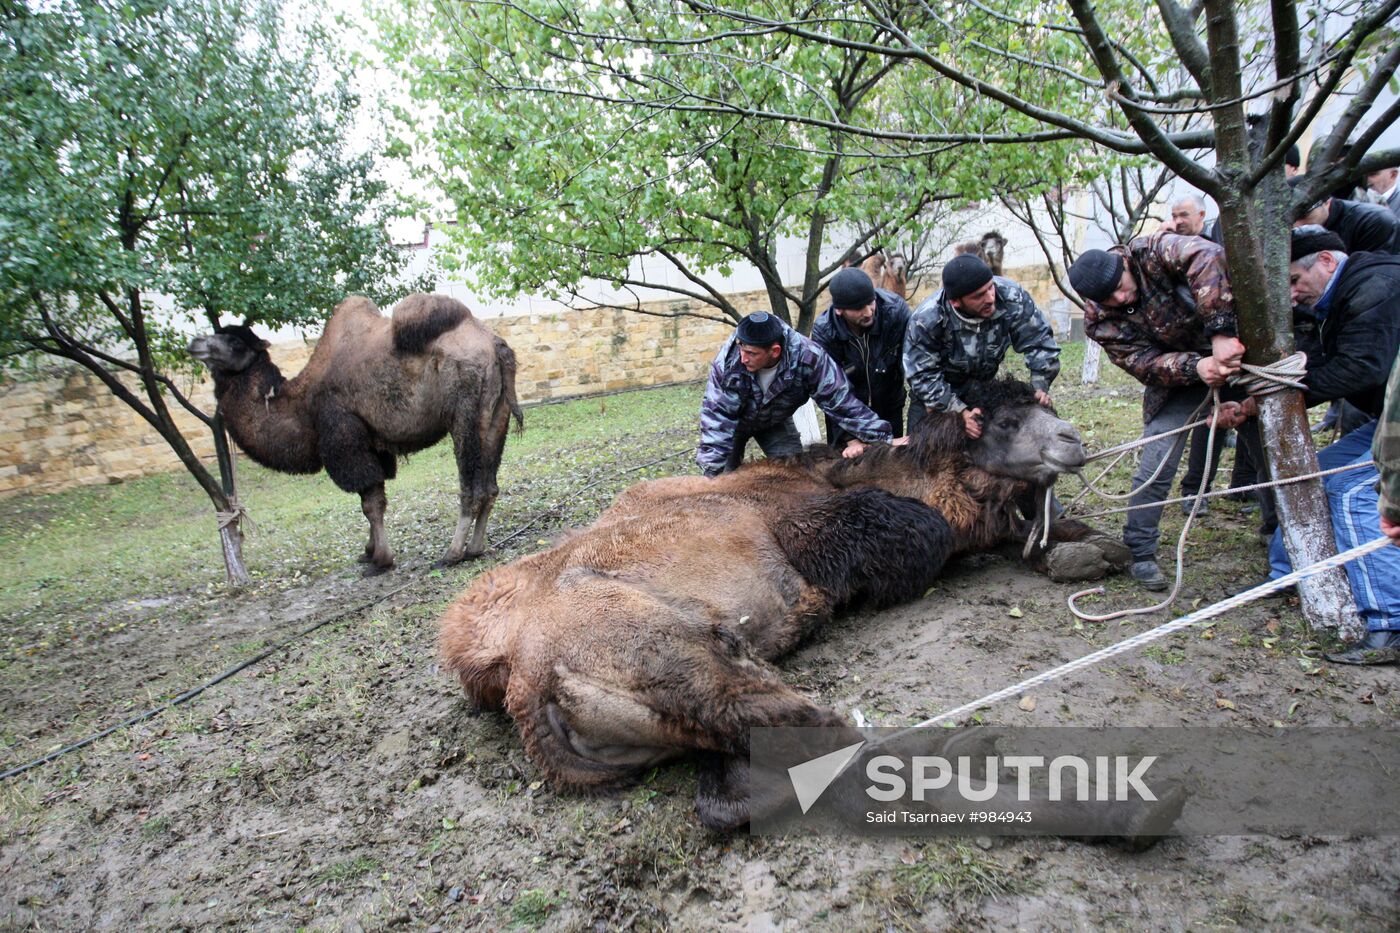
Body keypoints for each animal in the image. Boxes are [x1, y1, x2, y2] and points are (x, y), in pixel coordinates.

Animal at [191, 292, 526, 565]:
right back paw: (475, 548)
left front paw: (381, 559)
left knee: (472, 488)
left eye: (235, 342)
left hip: (464, 413)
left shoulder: (345, 438)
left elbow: (370, 502)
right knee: (490, 486)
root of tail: (495, 345)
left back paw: (452, 553)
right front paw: (368, 551)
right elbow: (376, 499)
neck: (301, 402)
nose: (194, 343)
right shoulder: (373, 445)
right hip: (496, 416)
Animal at [439, 378, 1148, 829]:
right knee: (840, 751)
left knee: (732, 792)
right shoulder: (825, 535)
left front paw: (1092, 550)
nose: (1071, 438)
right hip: (692, 656)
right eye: (1002, 420)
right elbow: (931, 536)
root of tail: (522, 681)